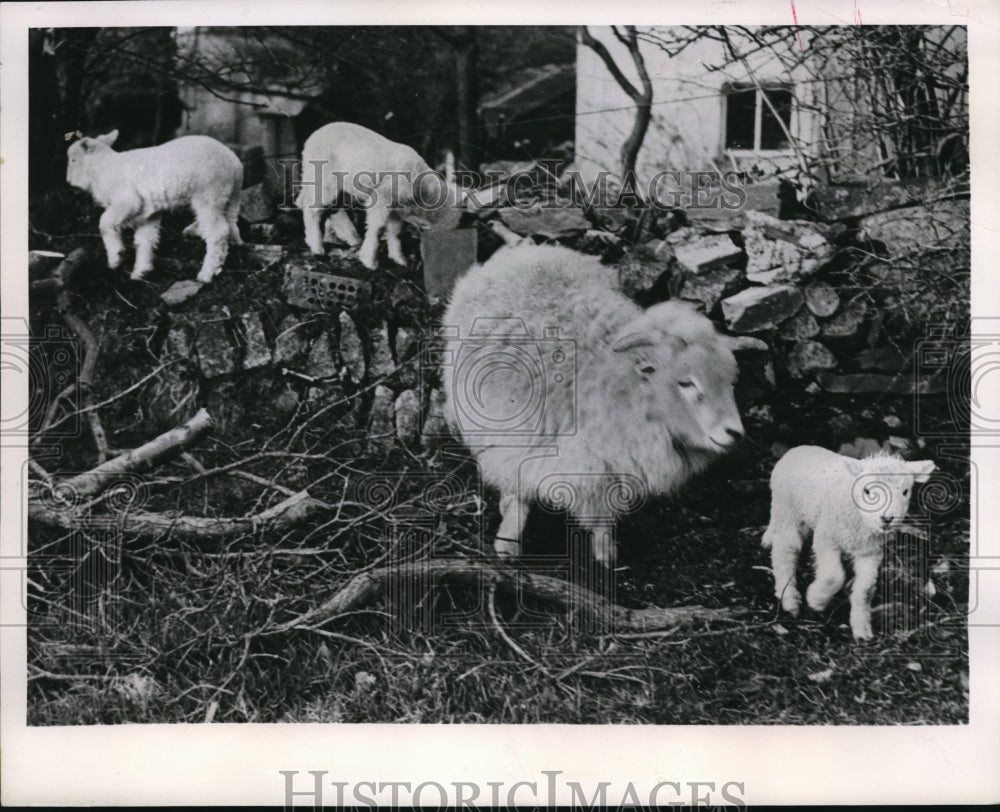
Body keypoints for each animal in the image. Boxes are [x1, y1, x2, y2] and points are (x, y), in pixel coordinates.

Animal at [66, 131, 243, 283]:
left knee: (218, 232)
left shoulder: (127, 201)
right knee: (230, 224)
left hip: (209, 194)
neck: (102, 167)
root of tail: (235, 165)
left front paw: (116, 257)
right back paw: (228, 253)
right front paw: (140, 272)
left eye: (73, 160)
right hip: (228, 197)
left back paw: (206, 274)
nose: (68, 181)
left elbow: (104, 223)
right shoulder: (149, 213)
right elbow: (144, 240)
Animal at [297, 122, 464, 270]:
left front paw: (399, 259)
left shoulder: (395, 209)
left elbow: (395, 232)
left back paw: (348, 238)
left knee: (330, 208)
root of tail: (311, 138)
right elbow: (377, 227)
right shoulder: (383, 196)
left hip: (339, 185)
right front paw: (369, 260)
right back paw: (317, 246)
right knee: (312, 209)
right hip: (324, 178)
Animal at [441, 243, 766, 564]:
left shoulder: (603, 468)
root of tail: (524, 250)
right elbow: (517, 492)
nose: (734, 433)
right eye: (686, 383)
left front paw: (606, 553)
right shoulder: (520, 442)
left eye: (731, 382)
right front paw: (508, 542)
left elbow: (601, 515)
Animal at [762, 445, 936, 640]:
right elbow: (833, 576)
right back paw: (790, 599)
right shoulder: (827, 537)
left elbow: (865, 590)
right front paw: (817, 600)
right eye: (867, 491)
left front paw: (862, 628)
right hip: (786, 508)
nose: (886, 519)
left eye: (905, 491)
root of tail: (796, 449)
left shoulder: (870, 552)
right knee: (786, 551)